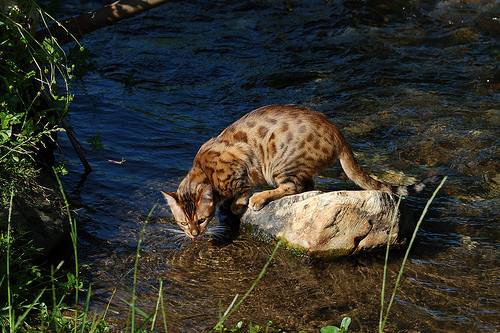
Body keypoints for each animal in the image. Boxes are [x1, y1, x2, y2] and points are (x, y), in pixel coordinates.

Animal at [162, 104, 432, 239]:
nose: (194, 235)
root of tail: (338, 133)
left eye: (200, 220)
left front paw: (237, 205)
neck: (203, 171)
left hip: (280, 163)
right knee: (309, 185)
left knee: (295, 187)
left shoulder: (241, 170)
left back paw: (260, 198)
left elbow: (242, 191)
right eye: (183, 222)